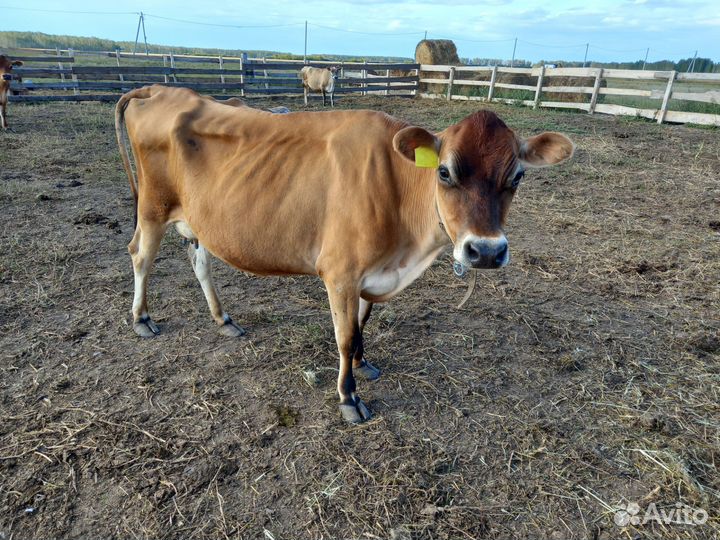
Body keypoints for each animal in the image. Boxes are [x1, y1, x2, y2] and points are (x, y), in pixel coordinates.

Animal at [115, 85, 574, 423]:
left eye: (518, 176)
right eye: (445, 172)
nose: (486, 251)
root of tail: (161, 89)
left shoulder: (371, 273)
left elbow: (362, 323)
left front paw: (364, 363)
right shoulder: (340, 273)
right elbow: (344, 335)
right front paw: (348, 397)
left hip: (199, 221)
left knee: (200, 262)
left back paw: (223, 318)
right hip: (152, 207)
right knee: (140, 255)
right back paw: (141, 318)